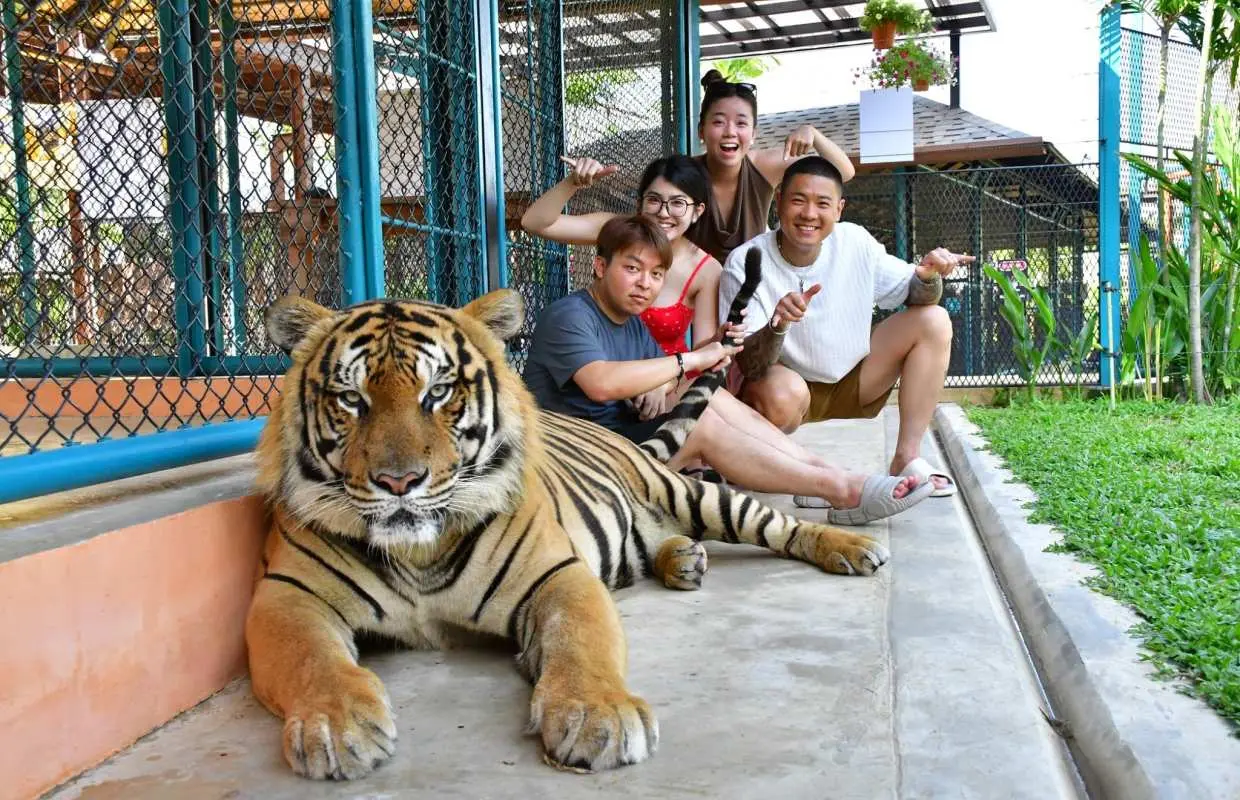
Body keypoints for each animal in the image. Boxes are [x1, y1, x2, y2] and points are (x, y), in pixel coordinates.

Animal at [246, 269, 890, 781]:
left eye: (439, 392)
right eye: (350, 399)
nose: (398, 481)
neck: (418, 554)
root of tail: (623, 438)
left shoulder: (557, 575)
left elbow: (581, 641)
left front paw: (597, 717)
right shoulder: (284, 597)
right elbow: (311, 658)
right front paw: (338, 727)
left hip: (689, 491)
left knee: (774, 521)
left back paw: (854, 544)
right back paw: (684, 560)